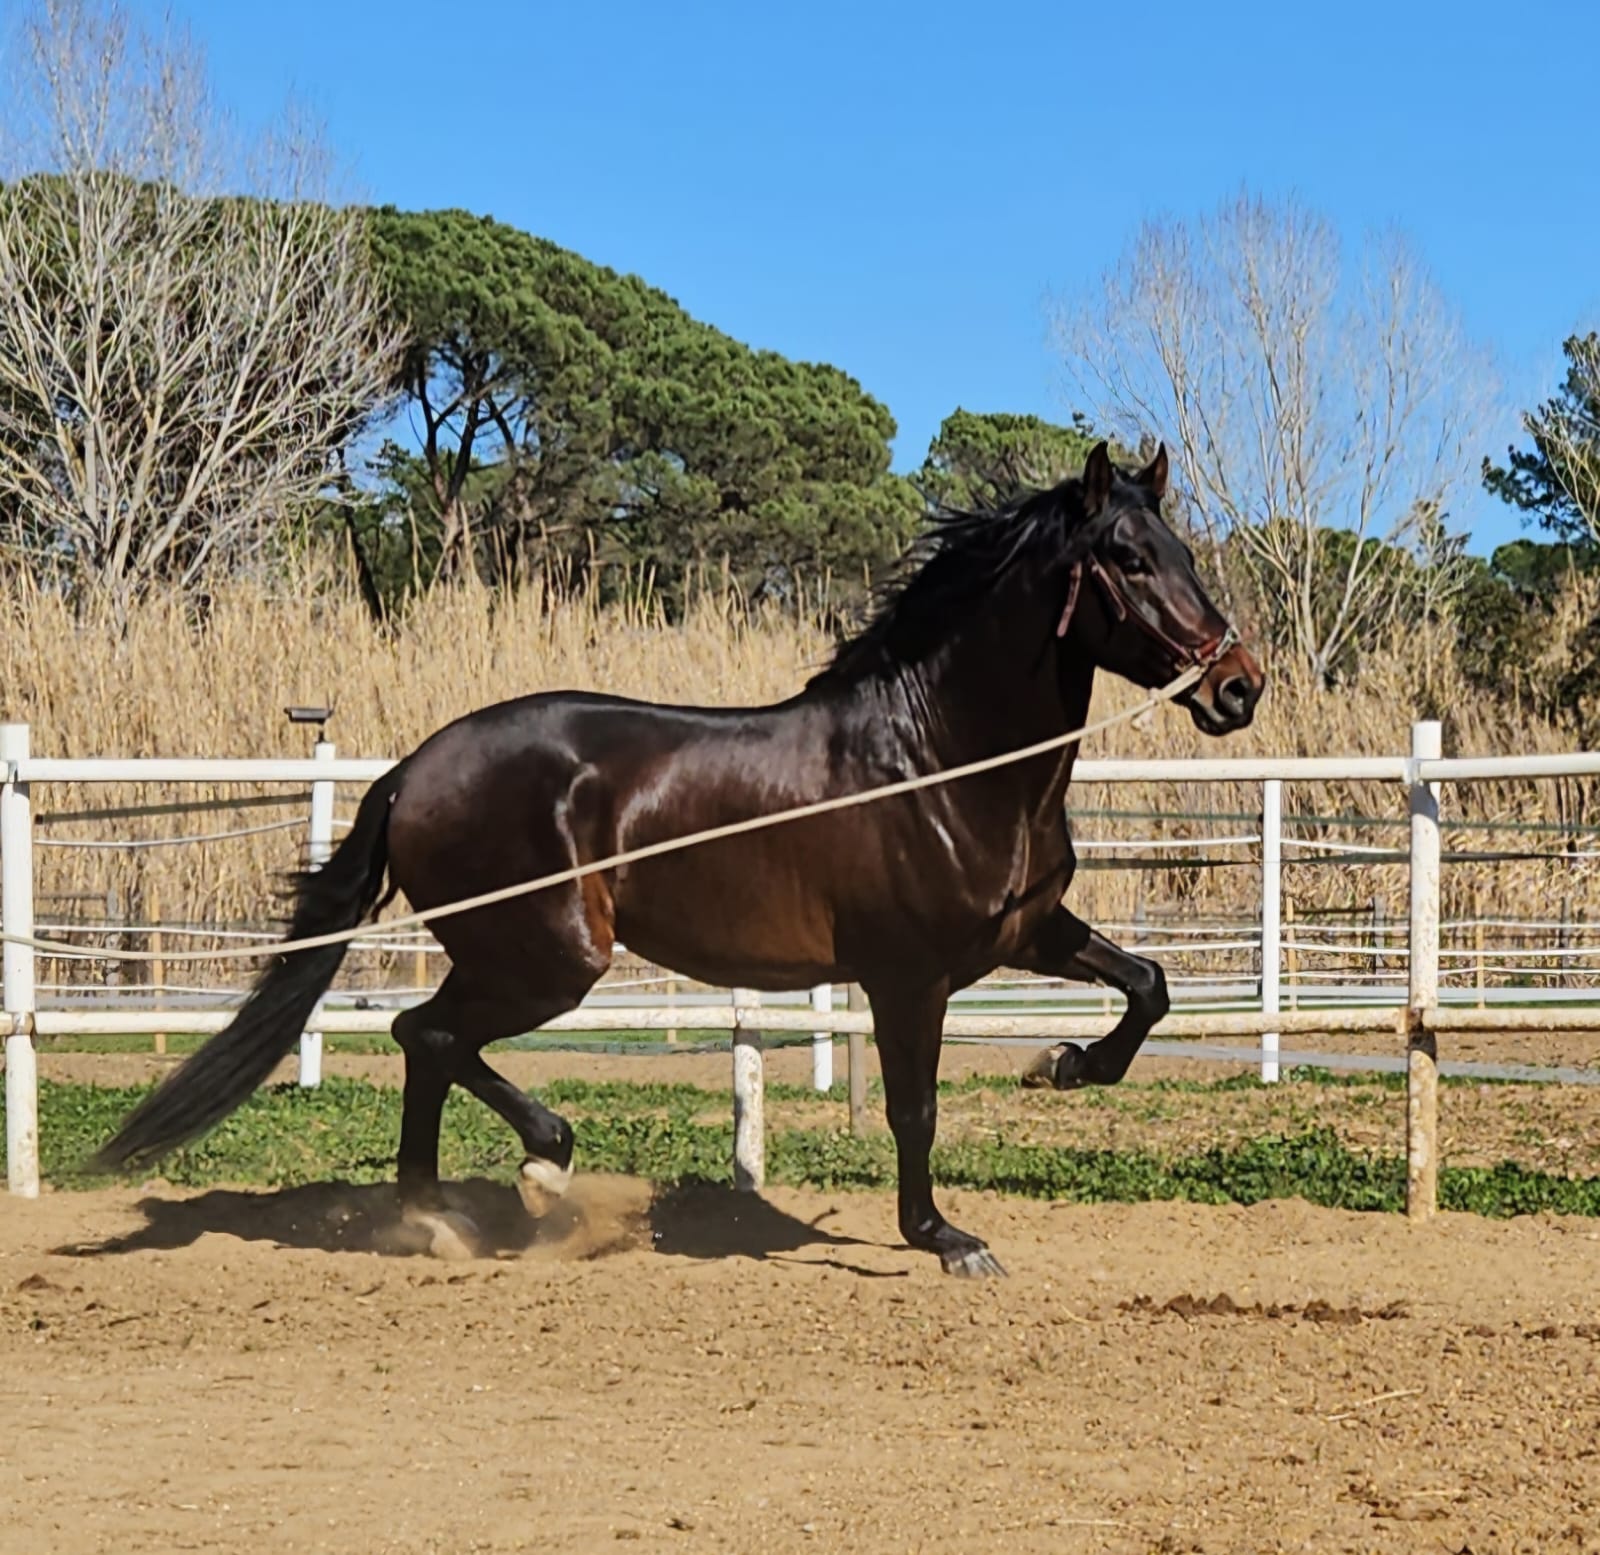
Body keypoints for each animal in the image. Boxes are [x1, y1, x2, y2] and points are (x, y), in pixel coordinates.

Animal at [89, 441, 1264, 1277]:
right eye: (1127, 560)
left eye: (1184, 554)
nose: (1238, 686)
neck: (936, 760)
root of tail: (413, 765)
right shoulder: (906, 974)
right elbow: (914, 1107)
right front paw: (944, 1237)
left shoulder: (1025, 932)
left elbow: (1149, 985)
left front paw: (1063, 1062)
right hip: (548, 956)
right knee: (428, 1033)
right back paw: (532, 1167)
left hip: (513, 955)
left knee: (426, 1041)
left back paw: (443, 1215)